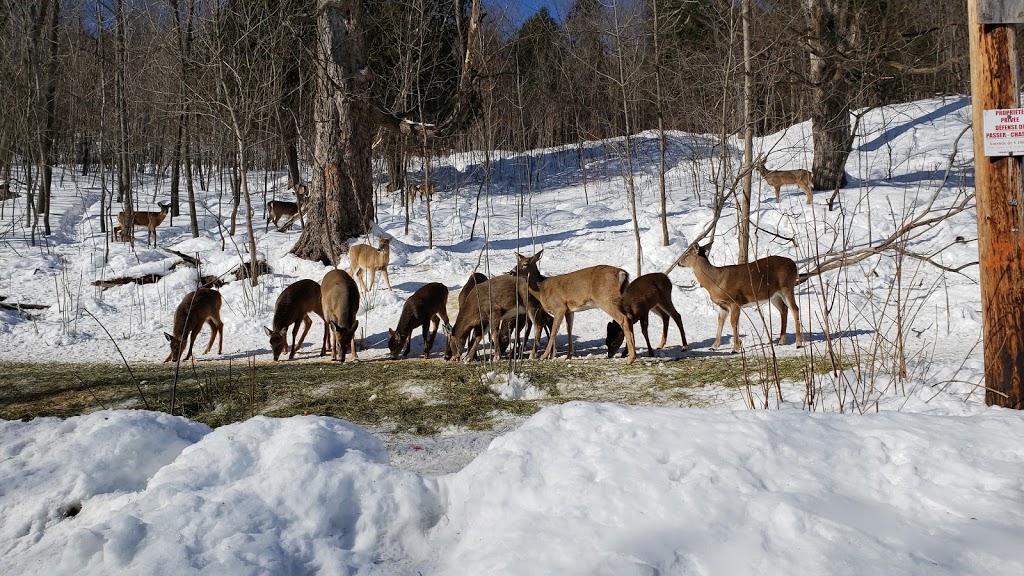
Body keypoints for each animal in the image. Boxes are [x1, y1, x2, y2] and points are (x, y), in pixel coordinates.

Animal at [667, 239, 802, 352]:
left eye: (687, 254)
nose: (678, 263)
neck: (716, 281)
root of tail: (794, 264)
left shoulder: (735, 301)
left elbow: (733, 322)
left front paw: (735, 348)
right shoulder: (723, 305)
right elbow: (720, 321)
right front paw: (714, 346)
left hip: (787, 287)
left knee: (795, 309)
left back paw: (798, 343)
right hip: (774, 295)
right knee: (784, 309)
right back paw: (781, 341)